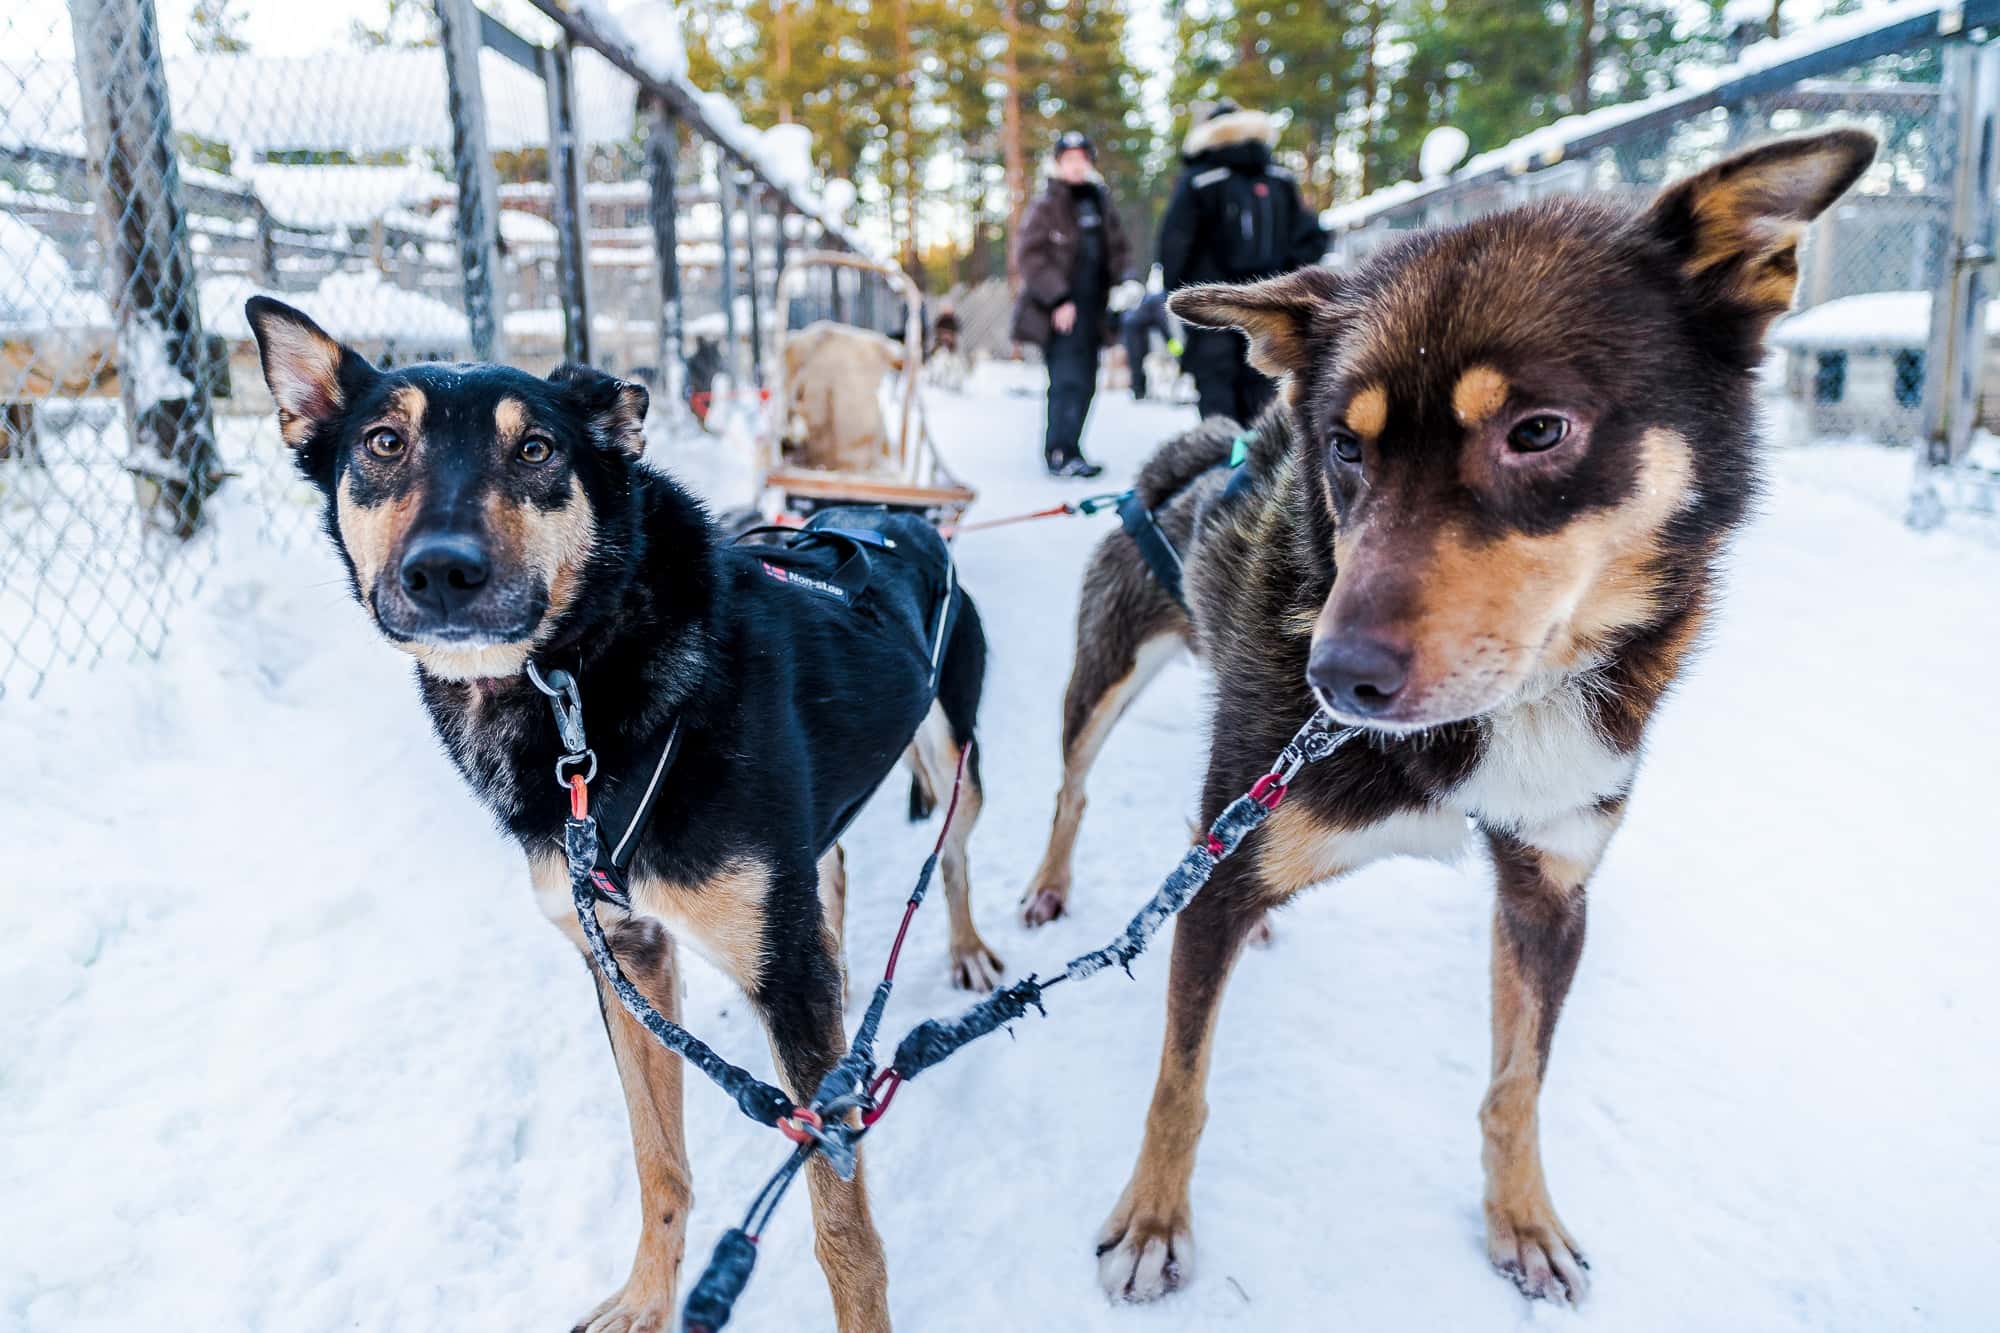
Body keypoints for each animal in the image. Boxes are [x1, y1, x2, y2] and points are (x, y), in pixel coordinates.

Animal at [248, 296, 1000, 1320]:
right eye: (383, 442)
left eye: (535, 450)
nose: (442, 570)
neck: (574, 694)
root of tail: (890, 518)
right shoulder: (625, 956)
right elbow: (659, 1160)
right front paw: (647, 1299)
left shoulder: (780, 981)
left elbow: (843, 1228)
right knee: (834, 876)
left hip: (951, 758)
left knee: (950, 855)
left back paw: (965, 947)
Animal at [1024, 132, 1880, 1296]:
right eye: (1343, 447)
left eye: (1538, 430)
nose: (1336, 675)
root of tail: (1191, 452)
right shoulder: (1226, 870)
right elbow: (1179, 1081)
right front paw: (1153, 1217)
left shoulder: (1550, 889)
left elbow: (1515, 1087)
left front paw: (1522, 1219)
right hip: (1108, 683)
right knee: (1075, 792)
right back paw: (1048, 884)